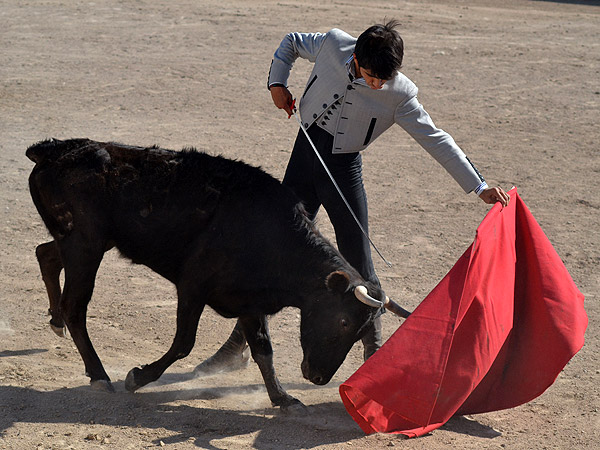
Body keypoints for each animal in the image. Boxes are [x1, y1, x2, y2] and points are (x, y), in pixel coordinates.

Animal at [27, 139, 390, 410]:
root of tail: (55, 150)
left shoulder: (249, 301)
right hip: (84, 246)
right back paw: (99, 374)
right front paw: (137, 378)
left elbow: (263, 349)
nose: (318, 378)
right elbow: (184, 343)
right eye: (343, 322)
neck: (271, 234)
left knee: (45, 254)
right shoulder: (193, 287)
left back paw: (56, 321)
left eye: (361, 332)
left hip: (84, 243)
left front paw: (282, 398)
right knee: (75, 306)